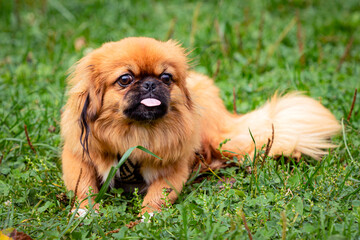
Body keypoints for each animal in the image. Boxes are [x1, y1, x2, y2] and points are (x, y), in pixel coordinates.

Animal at [62, 37, 340, 216]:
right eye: (125, 79)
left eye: (166, 77)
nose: (150, 84)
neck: (136, 133)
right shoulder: (77, 157)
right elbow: (83, 186)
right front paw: (84, 212)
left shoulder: (173, 170)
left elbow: (157, 195)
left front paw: (148, 217)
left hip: (223, 143)